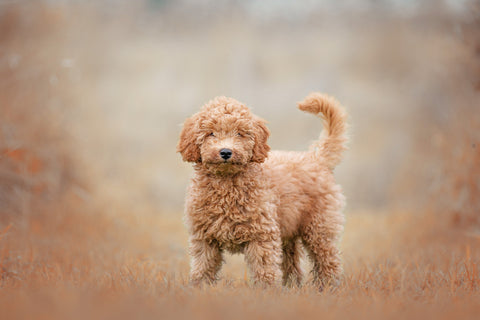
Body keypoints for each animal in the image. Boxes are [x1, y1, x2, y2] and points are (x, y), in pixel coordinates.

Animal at [178, 93, 346, 290]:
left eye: (240, 133)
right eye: (211, 133)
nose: (226, 152)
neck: (227, 184)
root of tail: (317, 159)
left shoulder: (262, 234)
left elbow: (264, 267)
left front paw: (265, 291)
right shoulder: (204, 237)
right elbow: (203, 266)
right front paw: (201, 288)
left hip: (320, 227)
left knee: (328, 260)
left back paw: (328, 287)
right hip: (288, 232)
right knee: (292, 262)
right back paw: (292, 287)